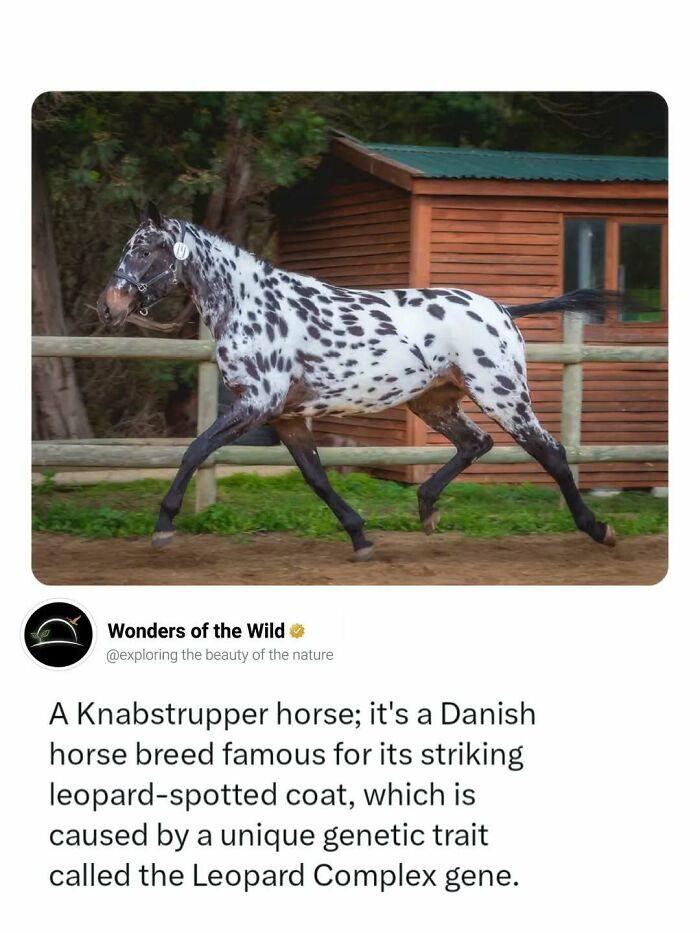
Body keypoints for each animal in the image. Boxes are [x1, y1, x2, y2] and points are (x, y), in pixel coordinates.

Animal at [97, 202, 619, 561]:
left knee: (550, 452)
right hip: (434, 401)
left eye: (144, 250)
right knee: (476, 443)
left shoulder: (258, 405)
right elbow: (316, 478)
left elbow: (195, 450)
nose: (109, 305)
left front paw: (163, 526)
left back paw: (599, 529)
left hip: (502, 394)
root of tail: (503, 310)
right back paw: (427, 509)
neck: (253, 304)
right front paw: (360, 535)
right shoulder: (286, 417)